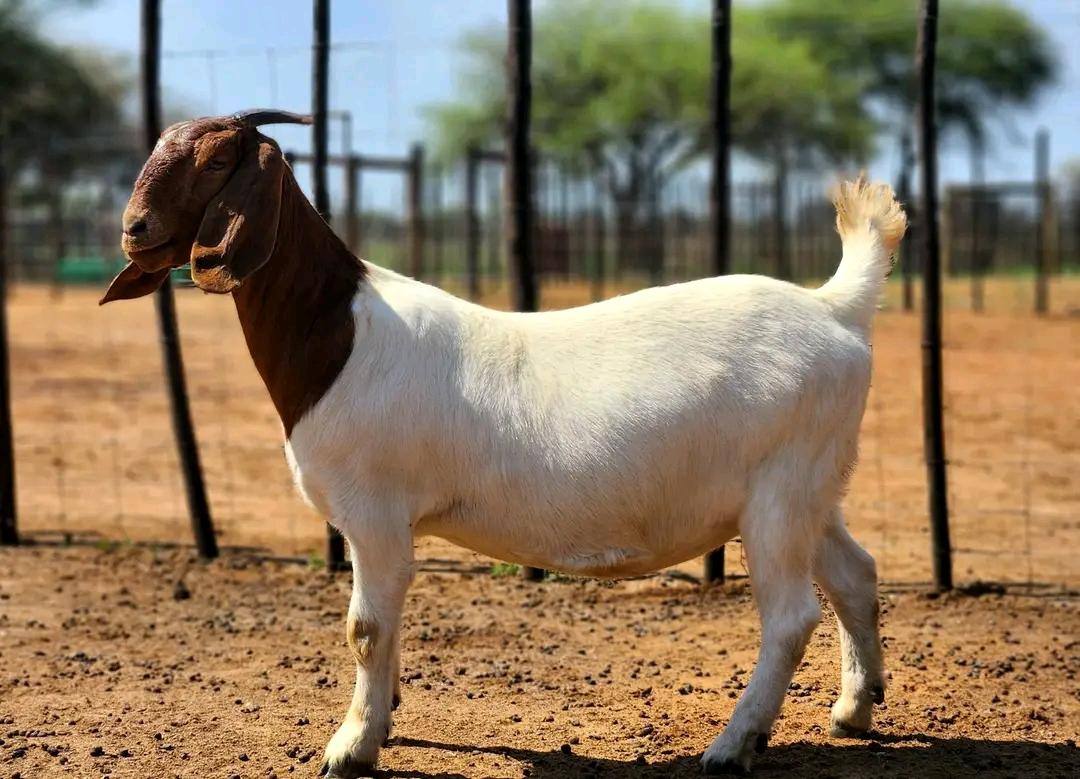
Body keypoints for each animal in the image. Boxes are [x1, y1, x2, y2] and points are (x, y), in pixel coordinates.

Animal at [104, 110, 904, 777]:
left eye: (216, 160)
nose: (134, 229)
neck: (339, 334)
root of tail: (834, 307)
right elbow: (385, 626)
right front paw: (382, 720)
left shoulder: (373, 510)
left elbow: (366, 626)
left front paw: (350, 747)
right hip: (813, 485)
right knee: (855, 574)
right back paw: (854, 709)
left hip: (780, 487)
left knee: (791, 617)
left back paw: (733, 745)